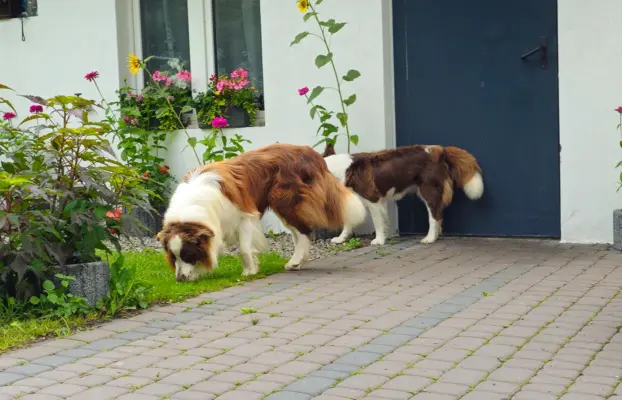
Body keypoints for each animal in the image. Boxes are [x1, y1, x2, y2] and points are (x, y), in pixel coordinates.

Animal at [158, 144, 368, 282]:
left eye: (187, 255)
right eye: (174, 257)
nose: (179, 279)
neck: (192, 206)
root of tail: (311, 153)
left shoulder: (244, 215)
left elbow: (244, 248)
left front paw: (248, 272)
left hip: (285, 201)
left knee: (304, 231)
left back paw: (295, 262)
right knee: (299, 233)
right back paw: (298, 262)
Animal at [324, 142, 486, 245]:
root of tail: (439, 150)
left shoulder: (373, 200)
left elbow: (377, 222)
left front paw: (379, 240)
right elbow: (348, 222)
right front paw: (341, 238)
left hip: (428, 190)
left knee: (435, 215)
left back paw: (430, 238)